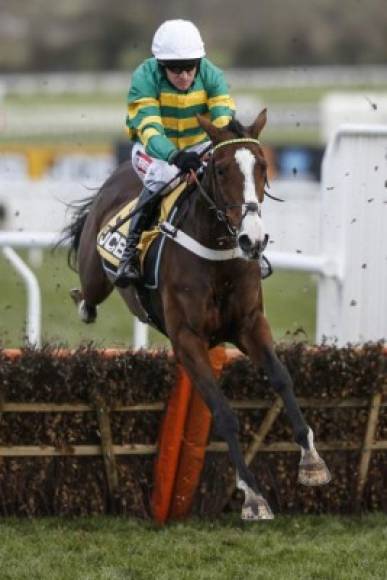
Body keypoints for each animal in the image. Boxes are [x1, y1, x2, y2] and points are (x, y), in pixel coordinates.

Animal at [63, 110, 330, 520]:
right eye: (219, 169)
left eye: (263, 166)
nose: (253, 239)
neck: (218, 255)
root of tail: (118, 173)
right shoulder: (188, 340)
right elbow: (222, 411)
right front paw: (252, 494)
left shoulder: (251, 324)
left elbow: (283, 379)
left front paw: (312, 460)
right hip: (96, 273)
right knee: (89, 295)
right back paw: (85, 300)